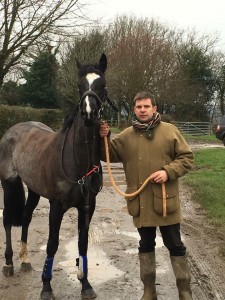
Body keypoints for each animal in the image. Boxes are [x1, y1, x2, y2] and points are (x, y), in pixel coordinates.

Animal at [0, 52, 112, 298]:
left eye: (102, 85)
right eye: (80, 85)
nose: (89, 113)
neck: (76, 160)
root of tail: (13, 130)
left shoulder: (87, 207)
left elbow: (82, 243)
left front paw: (86, 284)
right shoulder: (56, 206)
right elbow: (52, 244)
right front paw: (46, 287)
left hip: (33, 190)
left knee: (25, 218)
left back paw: (25, 259)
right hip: (8, 184)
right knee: (7, 220)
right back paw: (9, 263)